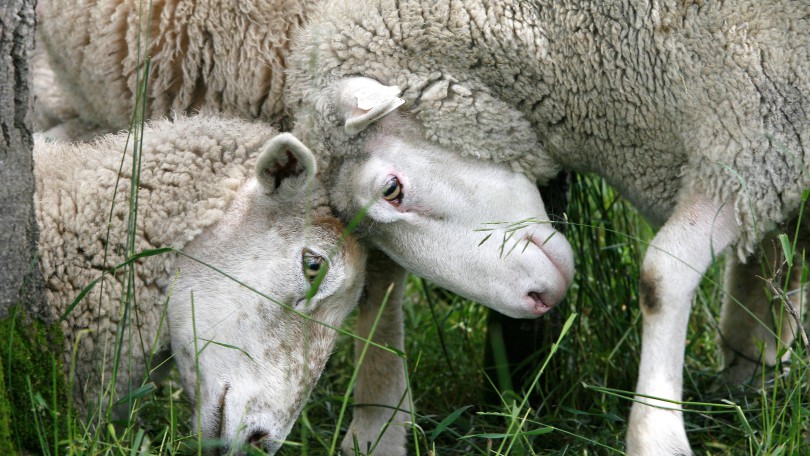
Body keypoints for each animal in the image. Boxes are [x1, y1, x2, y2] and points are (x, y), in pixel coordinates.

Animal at [282, 0, 810, 454]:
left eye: (391, 189)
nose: (536, 301)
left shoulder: (753, 134)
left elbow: (662, 276)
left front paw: (657, 435)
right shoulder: (762, 146)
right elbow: (766, 266)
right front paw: (751, 377)